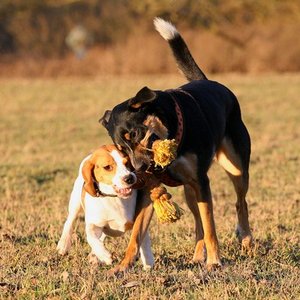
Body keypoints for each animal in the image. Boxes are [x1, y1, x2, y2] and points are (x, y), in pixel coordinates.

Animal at [100, 17, 253, 274]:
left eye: (135, 134)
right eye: (121, 148)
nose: (138, 171)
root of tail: (208, 81)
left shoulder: (202, 182)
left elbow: (211, 228)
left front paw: (215, 261)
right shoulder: (150, 190)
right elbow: (136, 234)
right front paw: (122, 266)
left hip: (236, 168)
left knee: (240, 203)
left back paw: (246, 239)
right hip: (190, 191)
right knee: (198, 222)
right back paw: (197, 257)